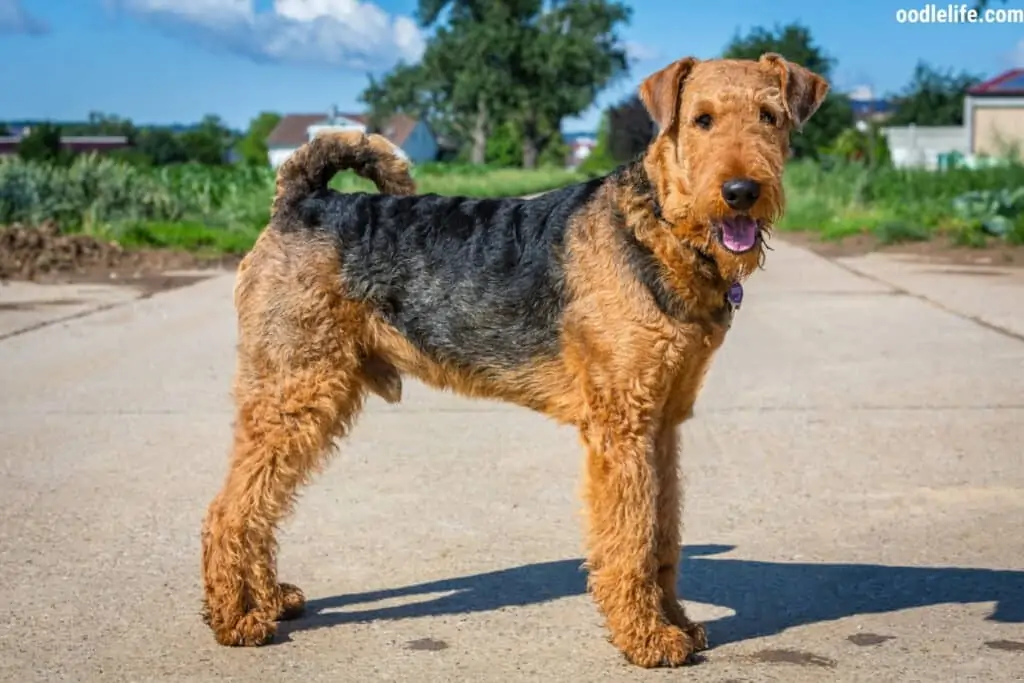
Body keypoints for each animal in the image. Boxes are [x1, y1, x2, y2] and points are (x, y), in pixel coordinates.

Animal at [201, 52, 831, 667]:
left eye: (770, 117)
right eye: (701, 119)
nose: (741, 192)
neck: (657, 225)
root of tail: (302, 199)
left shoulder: (662, 422)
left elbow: (663, 534)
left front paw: (676, 623)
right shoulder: (622, 425)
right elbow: (631, 537)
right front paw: (647, 640)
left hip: (306, 390)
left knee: (259, 503)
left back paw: (270, 600)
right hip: (295, 385)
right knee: (229, 509)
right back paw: (236, 619)